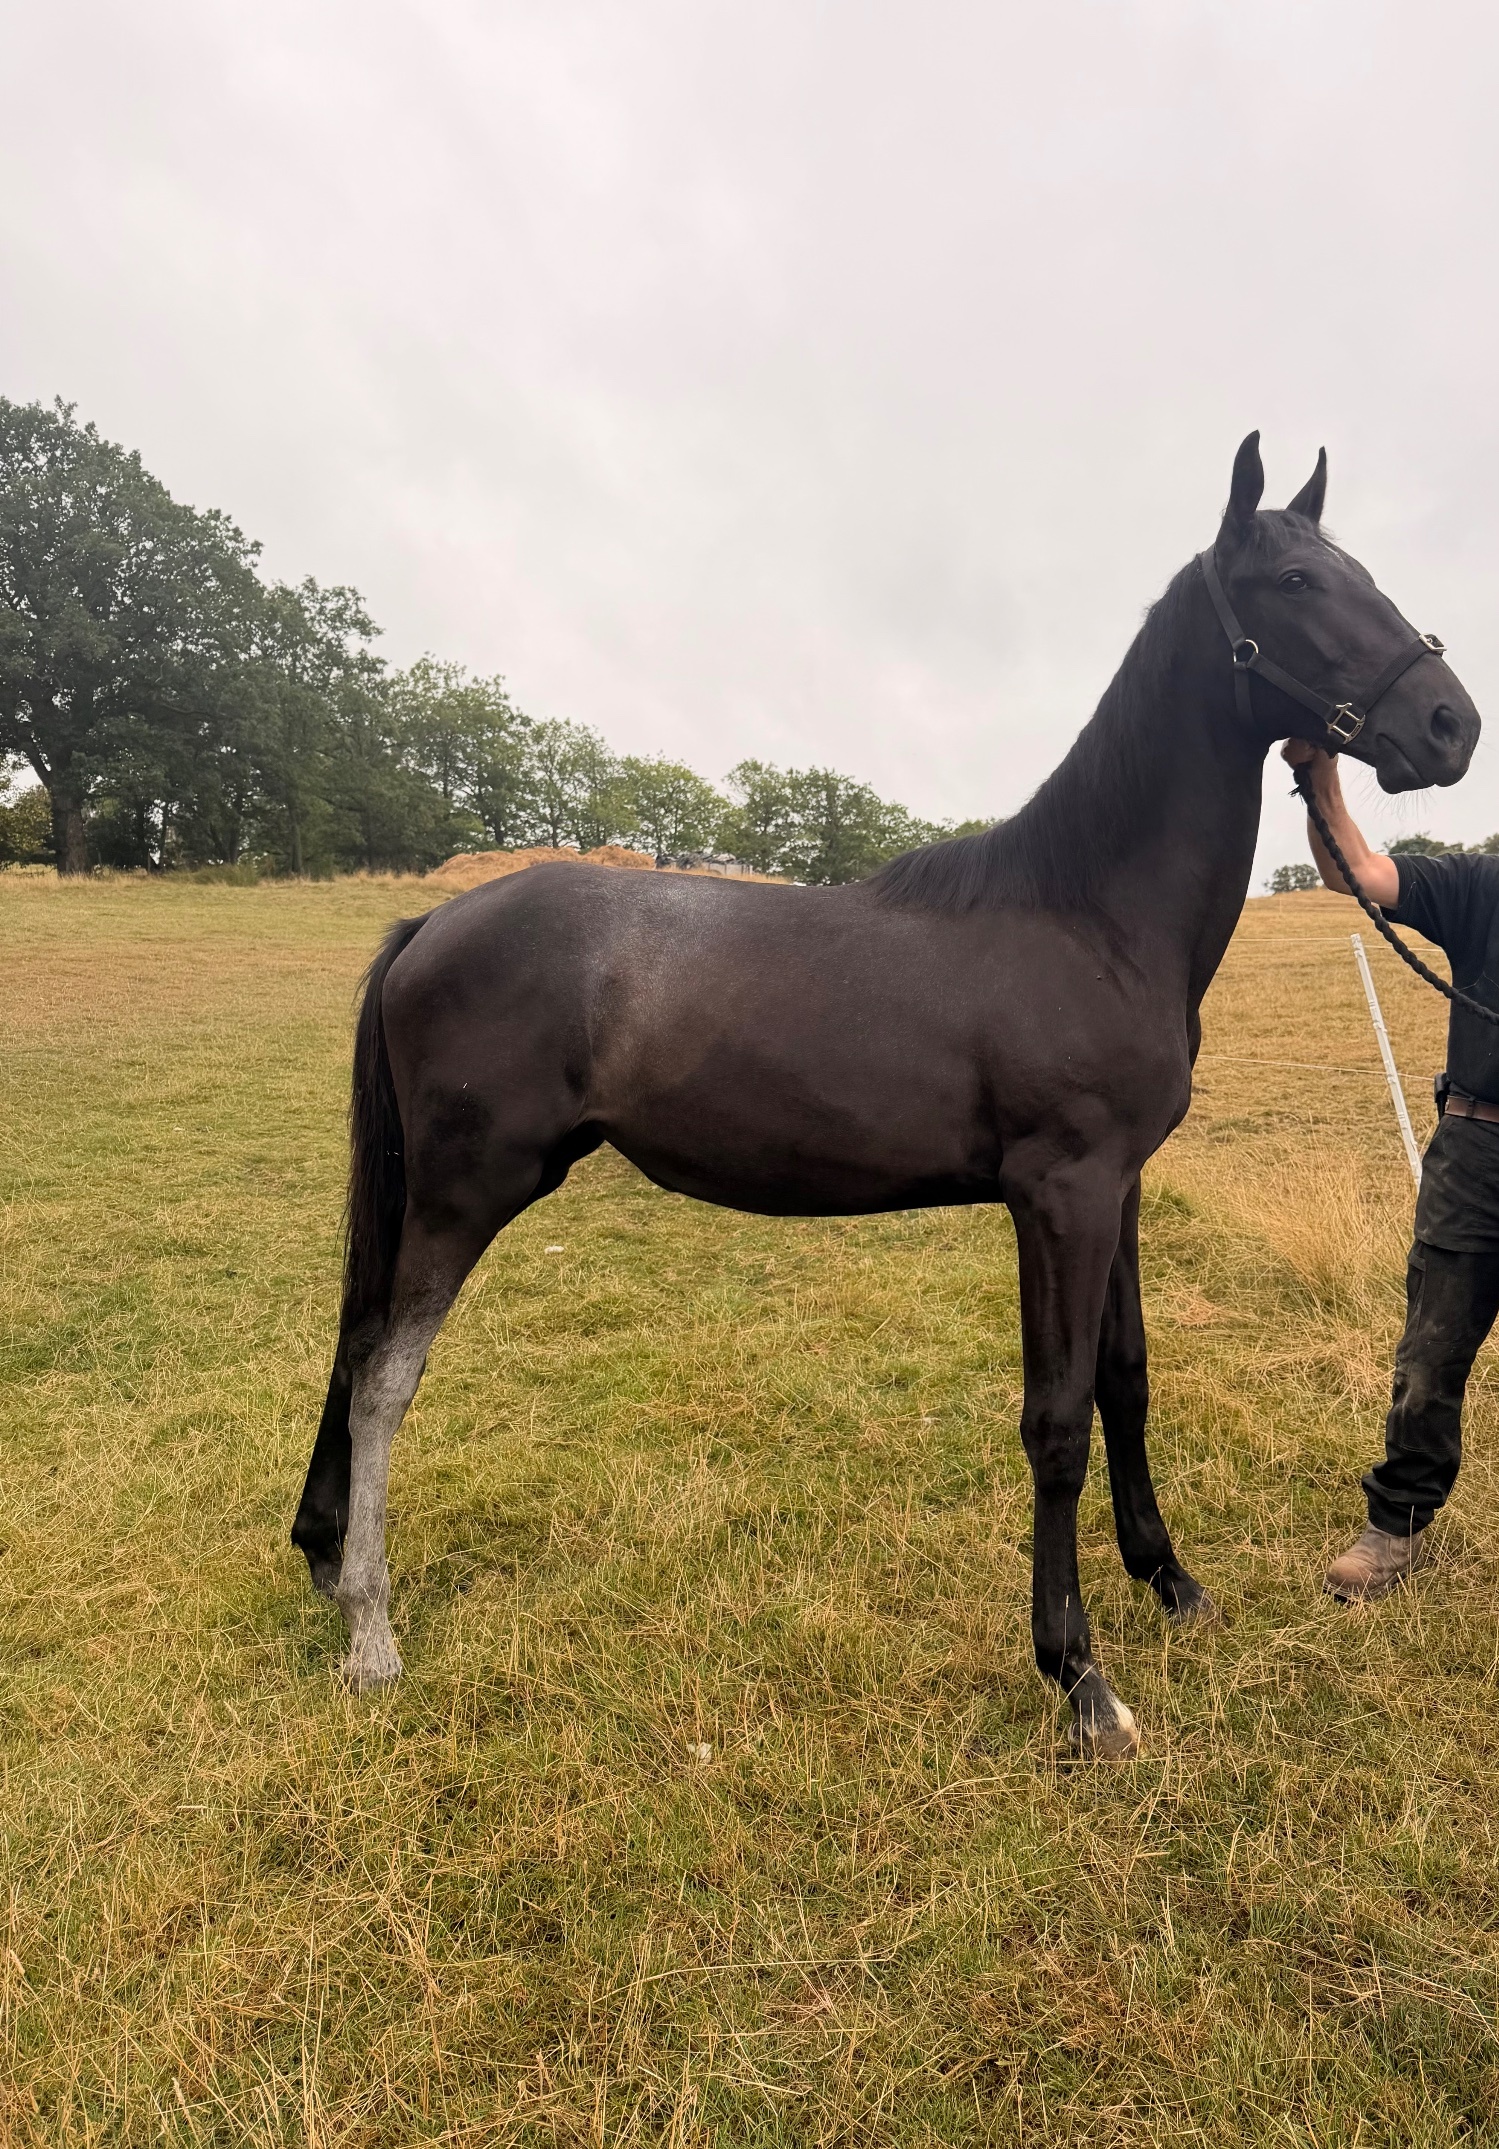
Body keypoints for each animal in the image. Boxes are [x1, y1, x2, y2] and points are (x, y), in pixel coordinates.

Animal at [291, 435, 1479, 1756]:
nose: (1448, 724)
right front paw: (1078, 1679)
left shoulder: (1116, 1188)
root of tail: (430, 922)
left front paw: (1171, 1583)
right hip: (465, 1194)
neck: (1084, 914)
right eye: (1292, 581)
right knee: (384, 1379)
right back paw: (371, 1633)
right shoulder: (1057, 1196)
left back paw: (328, 1564)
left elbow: (1124, 1379)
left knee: (352, 1347)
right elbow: (1054, 1420)